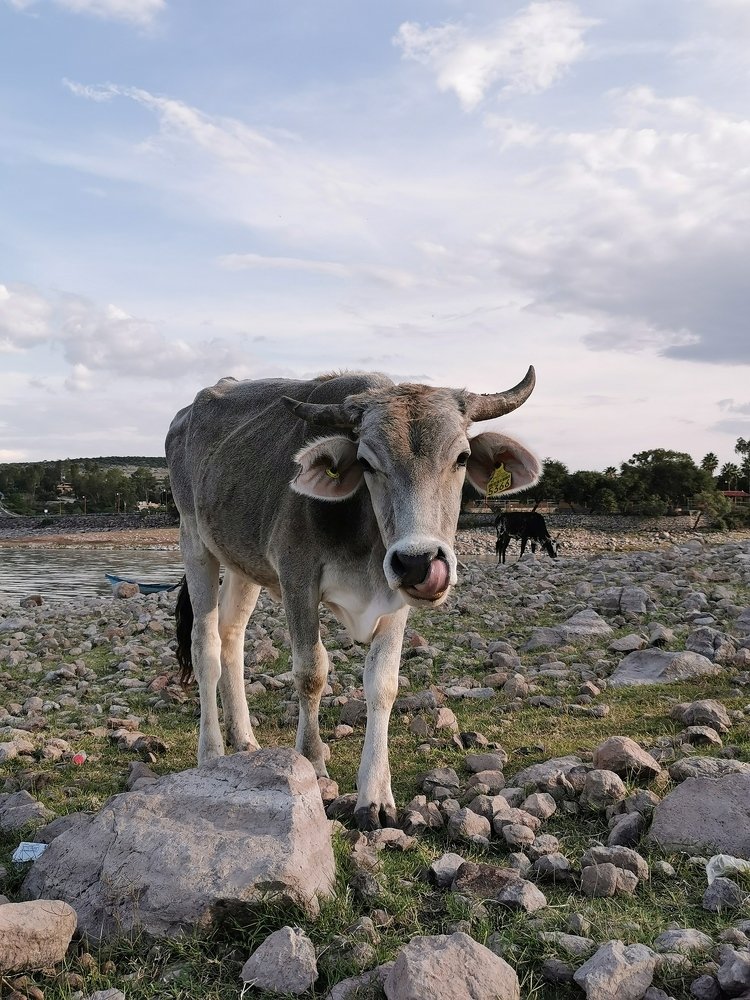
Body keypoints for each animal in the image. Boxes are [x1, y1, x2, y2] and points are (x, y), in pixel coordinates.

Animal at [166, 368, 540, 830]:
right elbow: (311, 672)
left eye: (462, 457)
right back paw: (211, 753)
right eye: (366, 462)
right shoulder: (298, 578)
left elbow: (383, 684)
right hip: (194, 541)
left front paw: (375, 796)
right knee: (206, 646)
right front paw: (312, 763)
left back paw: (245, 740)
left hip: (241, 563)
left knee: (231, 634)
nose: (419, 563)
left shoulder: (395, 600)